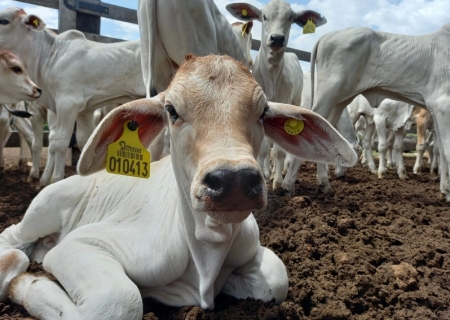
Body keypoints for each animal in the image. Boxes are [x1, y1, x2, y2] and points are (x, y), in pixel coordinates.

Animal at [0, 54, 356, 318]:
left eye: (263, 112)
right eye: (171, 110)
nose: (234, 180)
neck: (206, 249)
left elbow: (276, 281)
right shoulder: (82, 245)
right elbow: (121, 301)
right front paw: (28, 283)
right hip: (45, 207)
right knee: (13, 240)